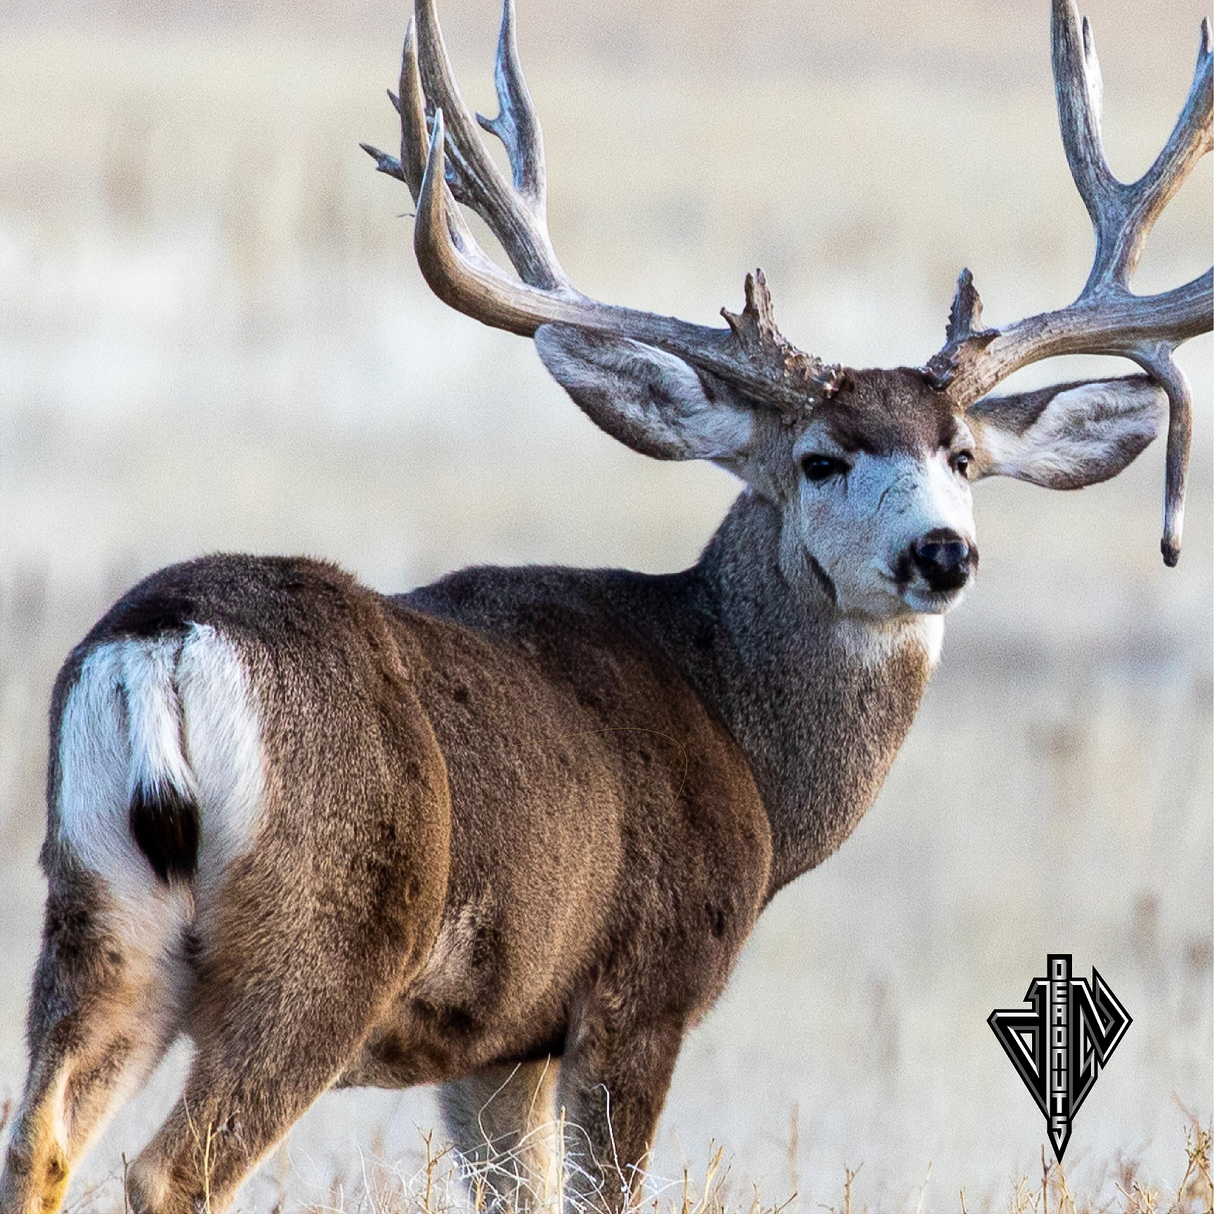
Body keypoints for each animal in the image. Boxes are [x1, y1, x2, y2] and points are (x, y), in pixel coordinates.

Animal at [1, 1, 1210, 1213]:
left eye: (962, 455)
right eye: (818, 459)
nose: (942, 551)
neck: (742, 738)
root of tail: (163, 647)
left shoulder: (495, 1042)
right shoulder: (639, 994)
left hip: (99, 911)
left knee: (40, 1138)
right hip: (322, 937)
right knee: (171, 1169)